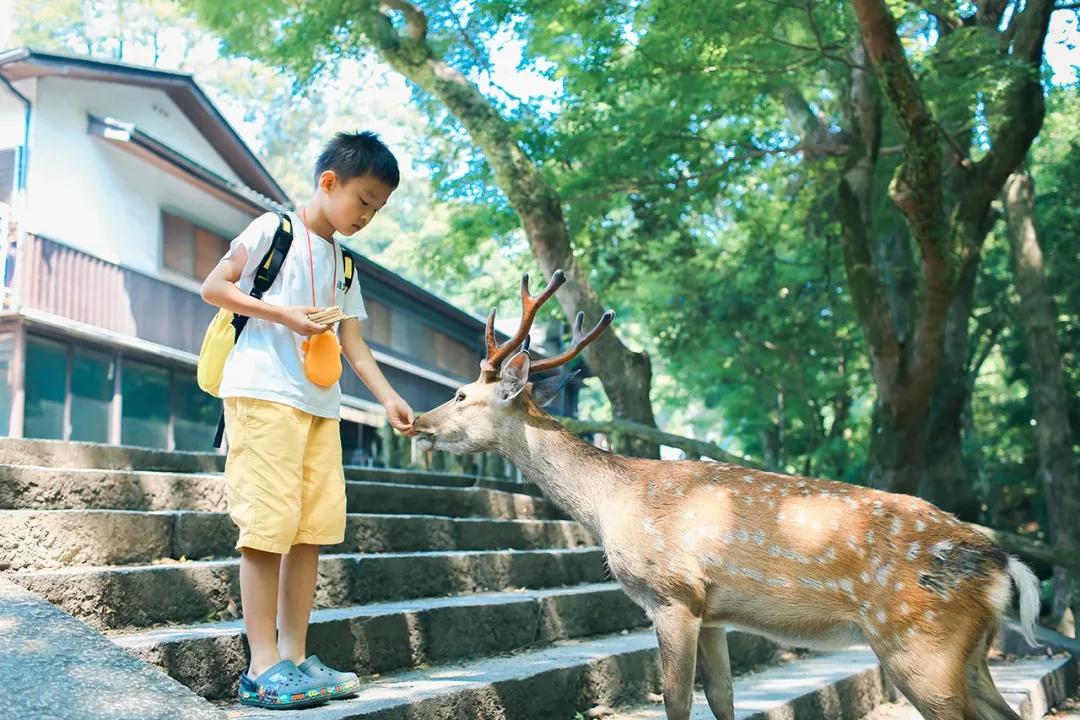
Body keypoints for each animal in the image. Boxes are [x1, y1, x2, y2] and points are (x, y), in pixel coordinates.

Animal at [410, 269, 1036, 720]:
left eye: (461, 393)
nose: (416, 421)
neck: (612, 505)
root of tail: (1004, 565)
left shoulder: (674, 595)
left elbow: (677, 703)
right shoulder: (714, 615)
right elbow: (722, 701)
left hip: (918, 644)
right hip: (967, 655)